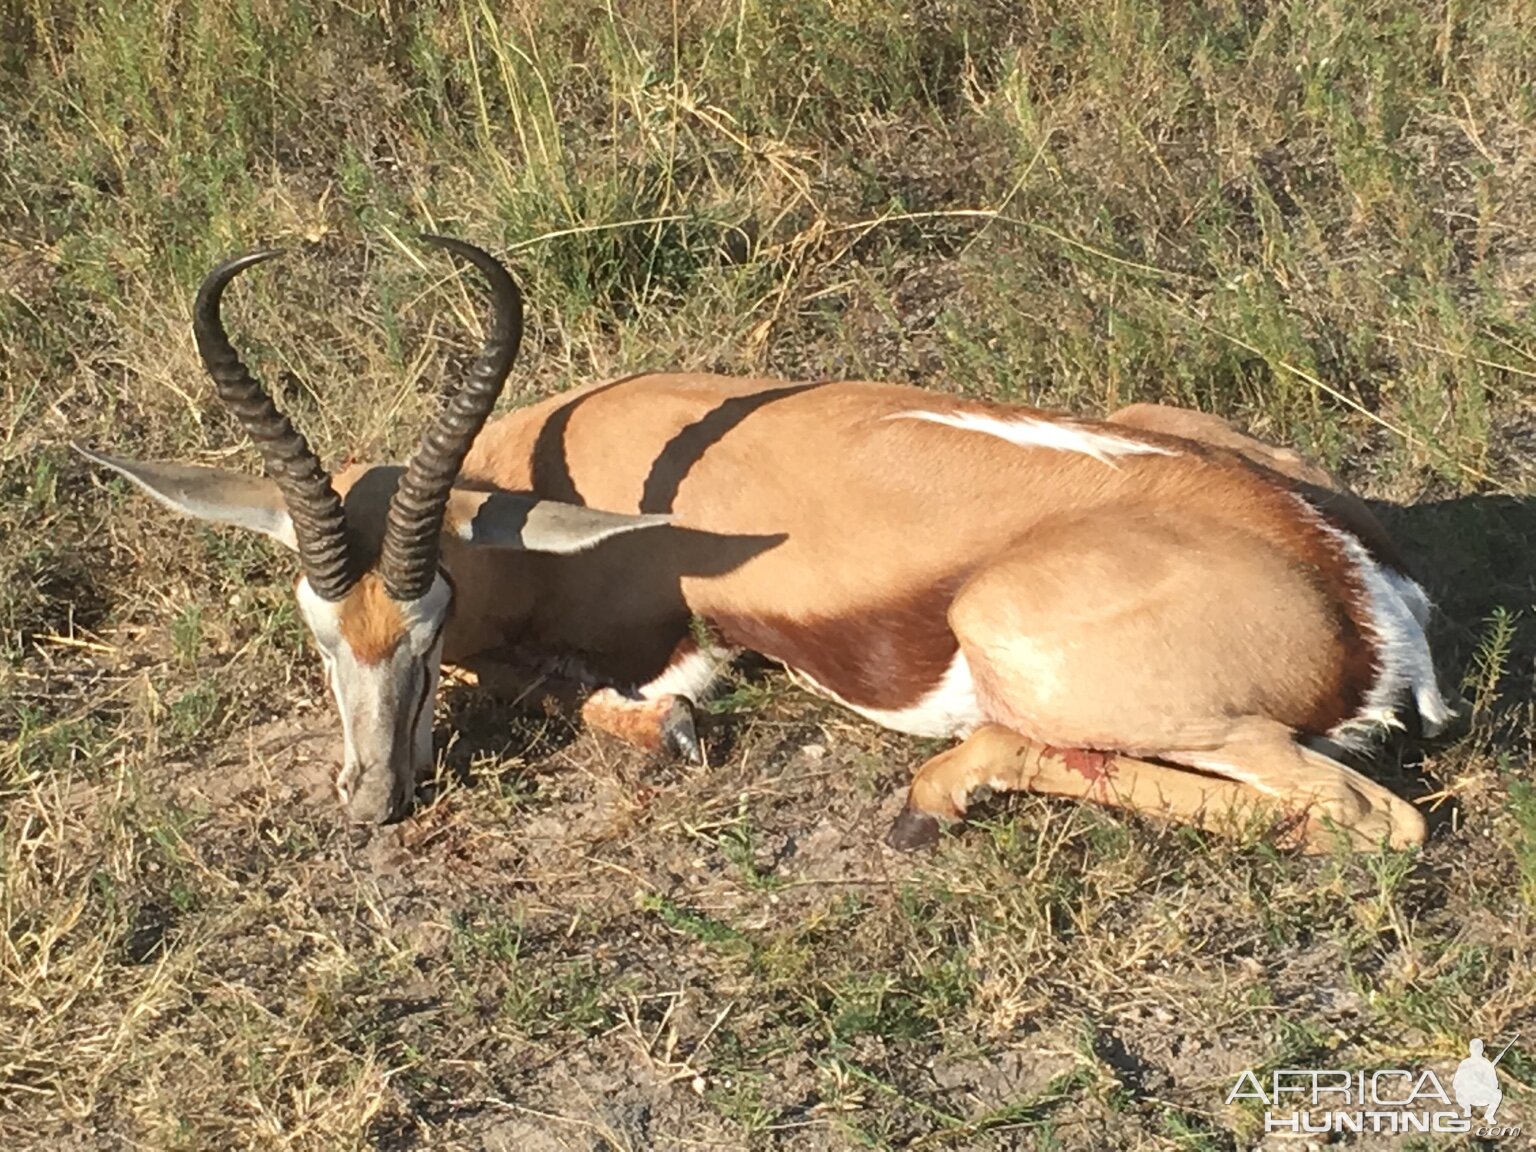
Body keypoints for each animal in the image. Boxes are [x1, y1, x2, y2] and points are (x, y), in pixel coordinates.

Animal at [77, 235, 1449, 854]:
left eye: (424, 622)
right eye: (319, 629)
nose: (374, 801)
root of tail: (1357, 588)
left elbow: (575, 689)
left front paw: (668, 723)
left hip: (1050, 655)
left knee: (1370, 824)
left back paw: (929, 796)